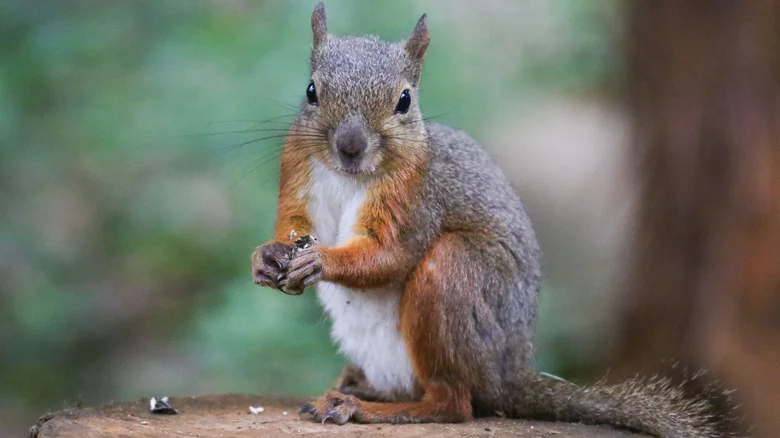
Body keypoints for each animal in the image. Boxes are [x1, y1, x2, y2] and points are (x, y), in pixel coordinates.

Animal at [251, 3, 726, 437]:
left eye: (404, 101)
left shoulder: (419, 199)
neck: (348, 177)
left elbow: (391, 254)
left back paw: (363, 406)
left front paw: (321, 261)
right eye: (311, 90)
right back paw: (361, 386)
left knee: (453, 403)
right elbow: (295, 224)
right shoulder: (299, 172)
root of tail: (508, 376)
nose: (350, 146)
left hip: (453, 278)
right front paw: (266, 256)